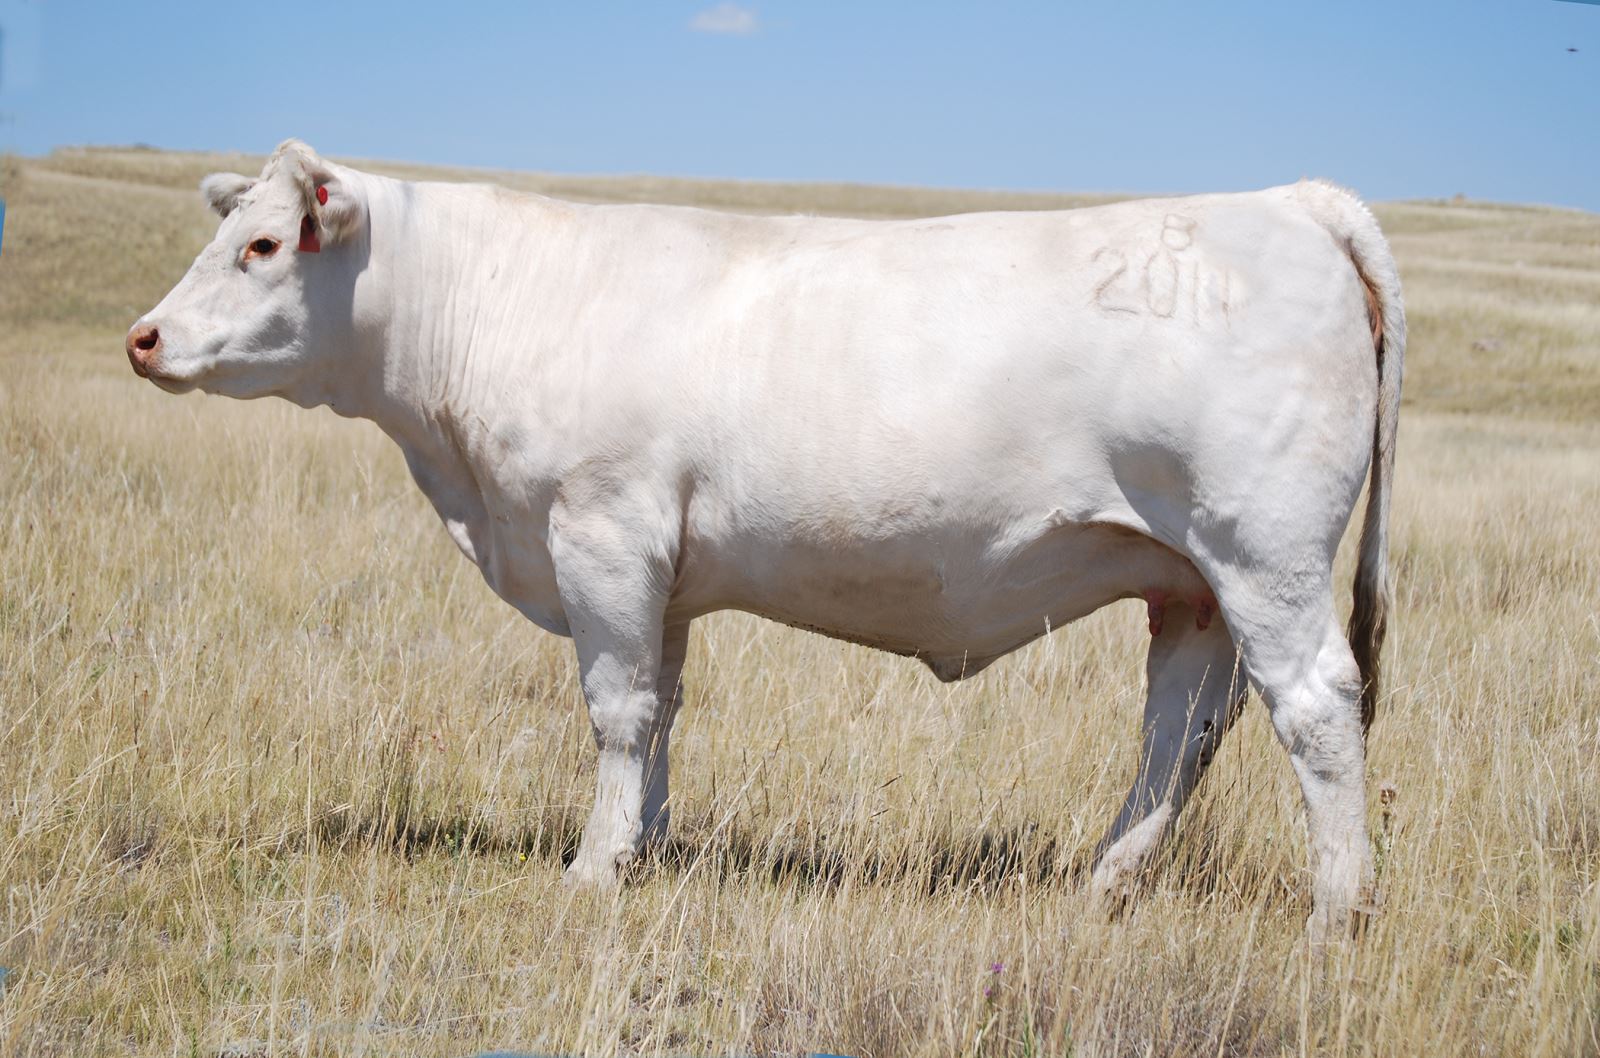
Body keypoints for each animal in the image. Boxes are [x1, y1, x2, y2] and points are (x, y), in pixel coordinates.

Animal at [127, 140, 1403, 944]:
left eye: (262, 247)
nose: (143, 336)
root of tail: (1286, 200)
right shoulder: (660, 575)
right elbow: (660, 709)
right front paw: (642, 845)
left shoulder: (600, 530)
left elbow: (616, 709)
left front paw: (592, 866)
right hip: (1190, 581)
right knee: (1181, 727)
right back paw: (1108, 878)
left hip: (1263, 553)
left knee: (1314, 707)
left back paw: (1335, 910)